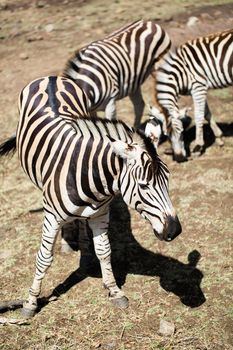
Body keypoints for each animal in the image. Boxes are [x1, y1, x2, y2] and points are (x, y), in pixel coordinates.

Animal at [0, 76, 181, 318]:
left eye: (168, 180)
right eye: (143, 185)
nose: (175, 230)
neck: (90, 177)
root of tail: (51, 78)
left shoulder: (100, 214)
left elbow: (104, 251)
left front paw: (114, 291)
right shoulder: (51, 218)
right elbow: (44, 258)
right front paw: (30, 303)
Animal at [153, 28, 233, 163]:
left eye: (182, 132)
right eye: (167, 136)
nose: (180, 158)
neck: (180, 74)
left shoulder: (198, 87)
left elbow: (199, 116)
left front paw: (198, 146)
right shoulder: (198, 89)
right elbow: (206, 113)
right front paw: (219, 138)